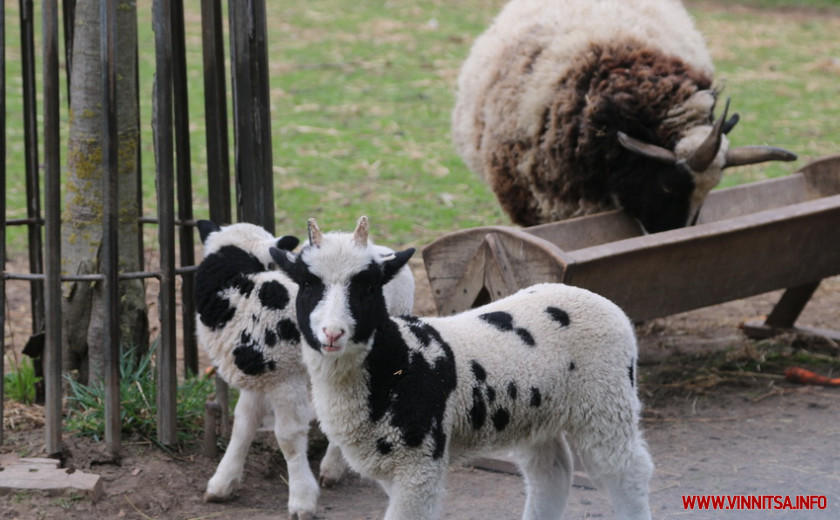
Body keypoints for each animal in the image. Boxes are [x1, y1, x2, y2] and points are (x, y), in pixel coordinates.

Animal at [191, 219, 414, 520]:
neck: (242, 290)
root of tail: (384, 250)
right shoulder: (261, 374)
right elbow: (242, 425)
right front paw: (222, 483)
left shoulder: (286, 376)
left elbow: (288, 436)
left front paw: (301, 500)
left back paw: (333, 468)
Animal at [272, 216, 652, 520]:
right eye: (307, 284)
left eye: (367, 286)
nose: (332, 333)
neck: (396, 360)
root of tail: (596, 298)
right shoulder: (394, 467)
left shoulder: (419, 463)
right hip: (539, 414)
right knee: (552, 473)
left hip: (607, 404)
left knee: (630, 474)